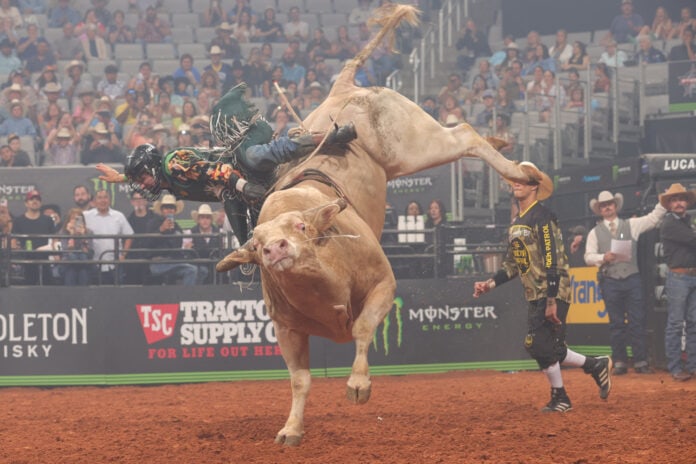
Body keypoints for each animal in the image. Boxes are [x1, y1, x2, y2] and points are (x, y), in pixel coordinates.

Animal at [218, 2, 528, 446]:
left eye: (301, 228)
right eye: (258, 245)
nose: (277, 249)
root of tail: (344, 88)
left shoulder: (384, 285)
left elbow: (363, 329)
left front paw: (358, 385)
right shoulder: (286, 328)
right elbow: (300, 380)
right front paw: (291, 429)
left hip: (412, 144)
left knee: (465, 134)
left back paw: (522, 173)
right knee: (469, 136)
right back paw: (504, 146)